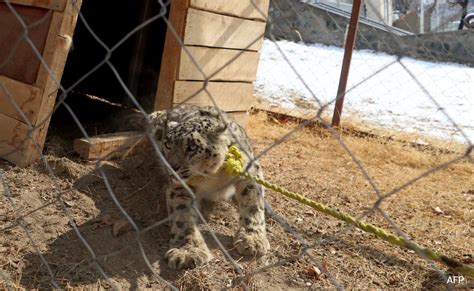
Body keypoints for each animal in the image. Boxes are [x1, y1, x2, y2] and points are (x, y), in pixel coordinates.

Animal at [143, 104, 268, 270]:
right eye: (168, 144)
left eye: (192, 147)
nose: (171, 166)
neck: (214, 176)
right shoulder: (182, 186)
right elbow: (183, 215)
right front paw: (188, 251)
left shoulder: (249, 171)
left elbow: (253, 205)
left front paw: (252, 239)